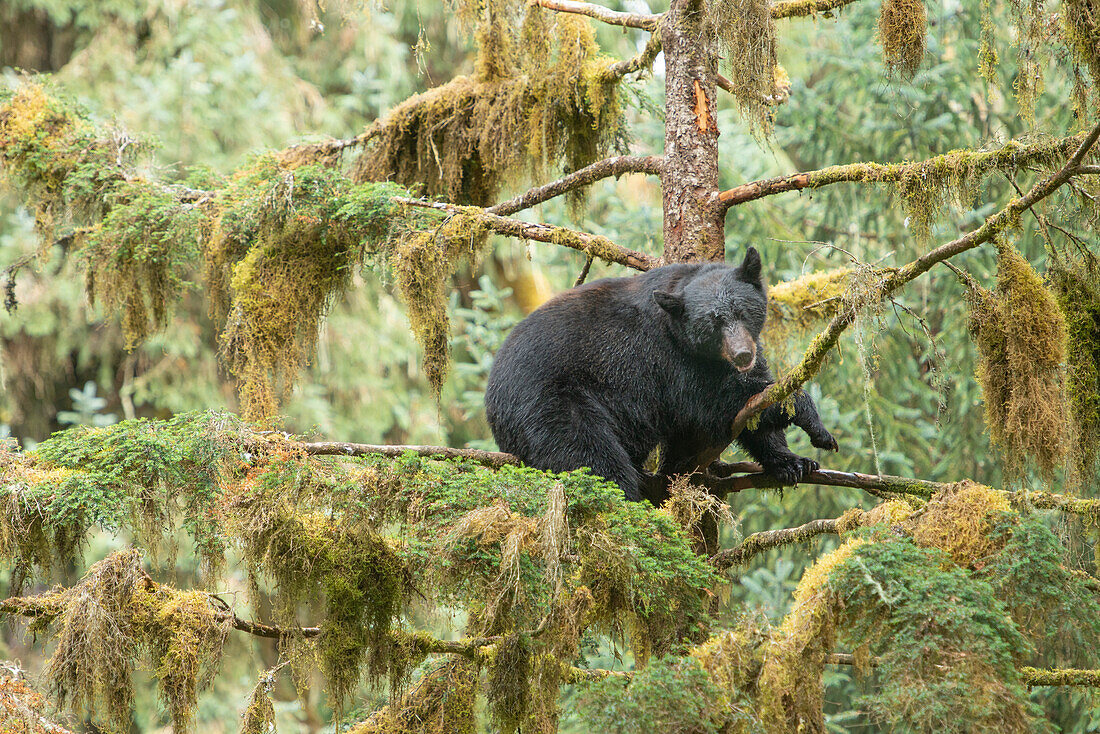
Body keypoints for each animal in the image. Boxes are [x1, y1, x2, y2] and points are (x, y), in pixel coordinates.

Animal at [486, 248, 836, 506]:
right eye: (712, 324)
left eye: (742, 311)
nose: (741, 355)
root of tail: (491, 401)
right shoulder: (665, 360)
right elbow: (712, 404)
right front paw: (811, 419)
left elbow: (753, 410)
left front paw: (793, 461)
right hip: (553, 404)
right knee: (591, 459)